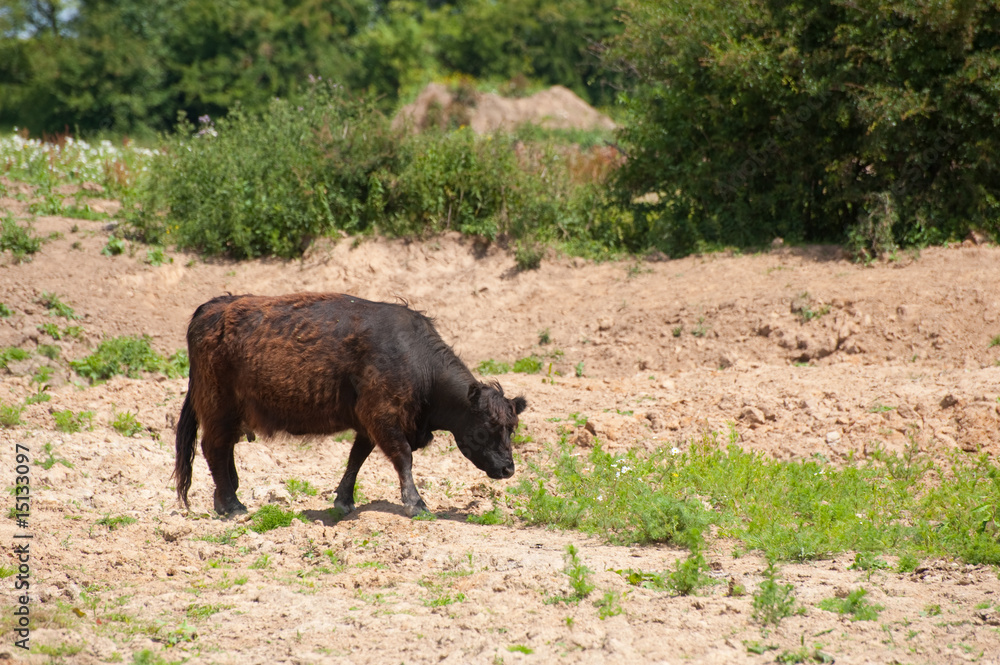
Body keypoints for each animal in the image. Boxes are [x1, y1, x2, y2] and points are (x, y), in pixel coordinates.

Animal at [172, 293, 527, 517]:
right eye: (487, 427)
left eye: (512, 428)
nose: (508, 469)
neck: (416, 360)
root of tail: (212, 307)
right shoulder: (383, 417)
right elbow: (403, 458)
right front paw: (416, 504)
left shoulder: (367, 424)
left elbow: (356, 458)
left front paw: (344, 501)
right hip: (218, 407)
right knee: (214, 448)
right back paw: (233, 507)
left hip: (229, 414)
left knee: (223, 451)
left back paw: (224, 501)